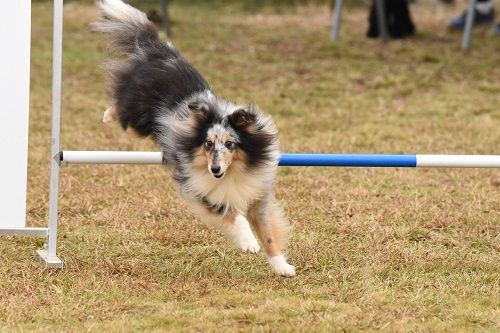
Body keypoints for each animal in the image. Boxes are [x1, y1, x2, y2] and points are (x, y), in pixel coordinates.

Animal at [93, 0, 292, 274]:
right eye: (208, 144)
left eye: (230, 144)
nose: (215, 169)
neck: (234, 172)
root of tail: (160, 51)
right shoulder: (201, 190)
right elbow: (234, 216)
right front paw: (249, 242)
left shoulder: (257, 194)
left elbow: (268, 233)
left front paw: (281, 266)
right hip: (137, 116)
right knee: (122, 109)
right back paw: (107, 114)